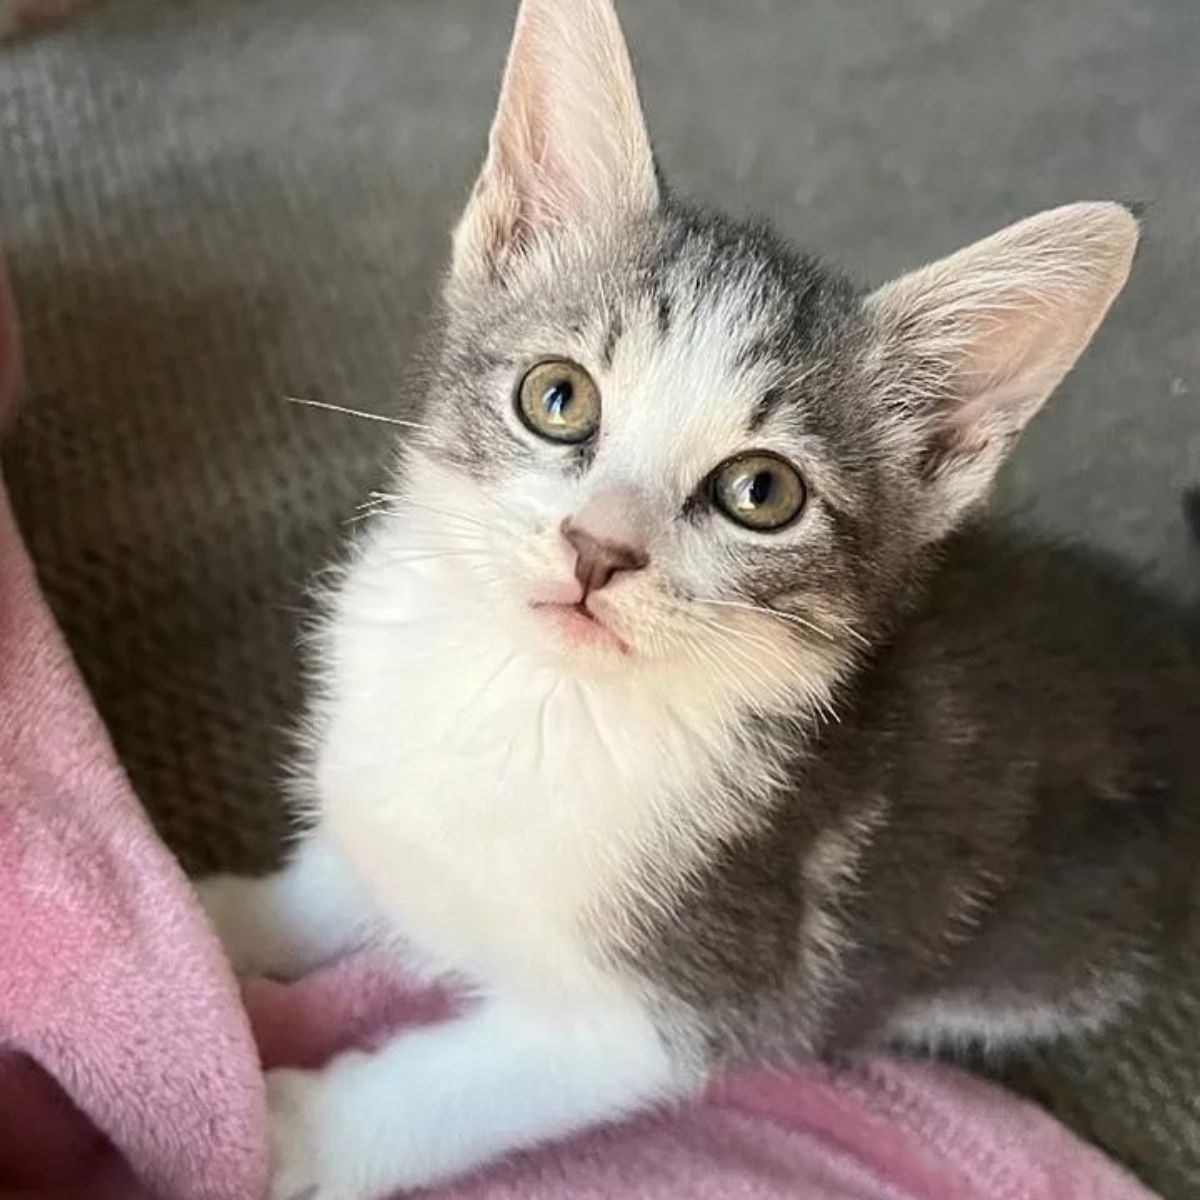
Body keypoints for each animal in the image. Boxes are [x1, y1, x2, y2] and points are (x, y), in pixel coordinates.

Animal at [196, 2, 1200, 1200]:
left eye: (760, 493)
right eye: (558, 397)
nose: (597, 548)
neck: (534, 699)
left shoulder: (682, 1005)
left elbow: (444, 1091)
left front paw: (276, 1126)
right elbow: (354, 863)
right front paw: (221, 916)